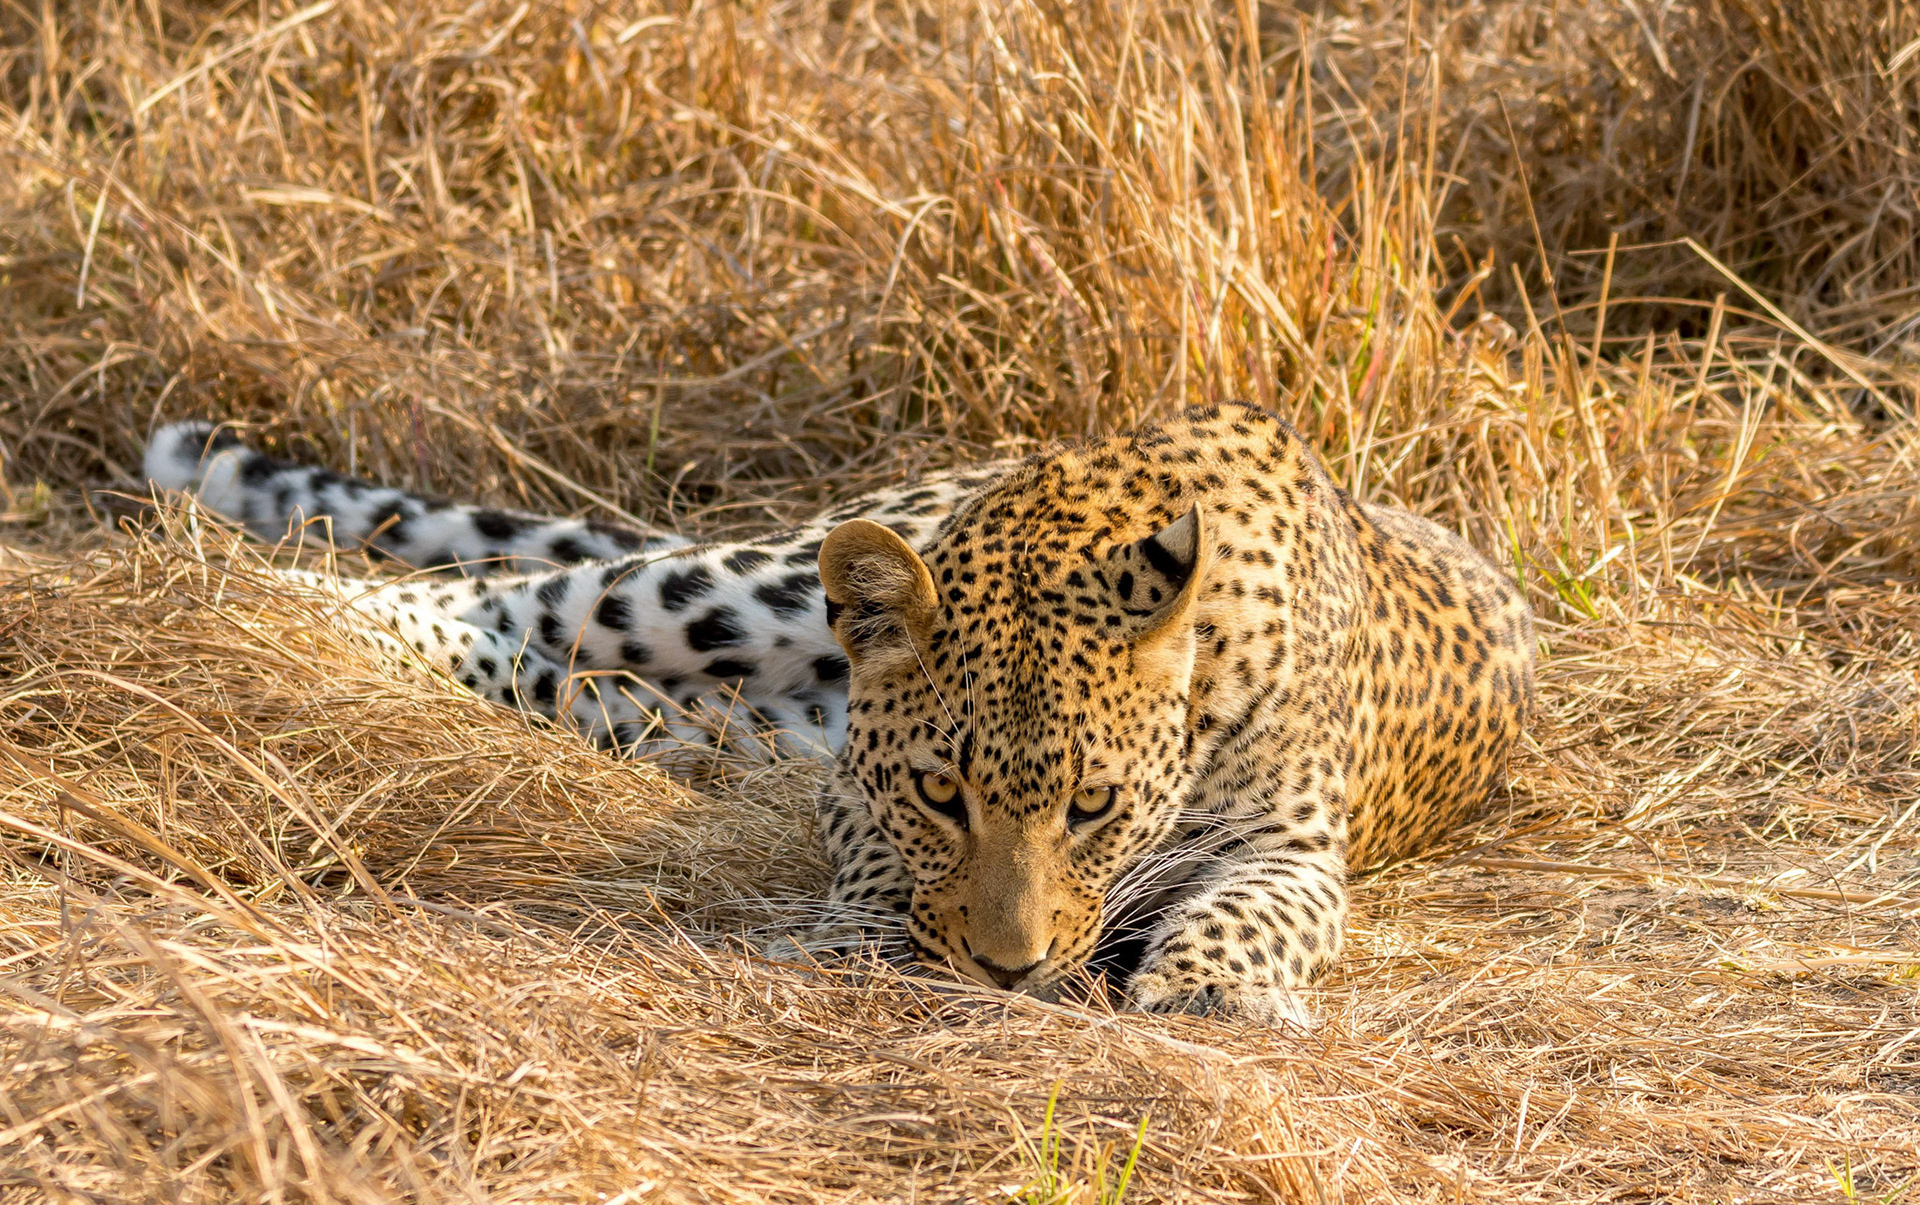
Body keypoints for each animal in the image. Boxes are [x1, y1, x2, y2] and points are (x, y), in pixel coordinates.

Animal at [143, 402, 1534, 1023]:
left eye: (1093, 804)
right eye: (940, 790)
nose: (1008, 969)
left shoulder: (1290, 842)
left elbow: (1260, 910)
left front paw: (1205, 993)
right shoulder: (853, 778)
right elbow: (876, 861)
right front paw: (873, 938)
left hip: (714, 712)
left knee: (558, 671)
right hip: (737, 589)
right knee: (510, 593)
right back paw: (258, 604)